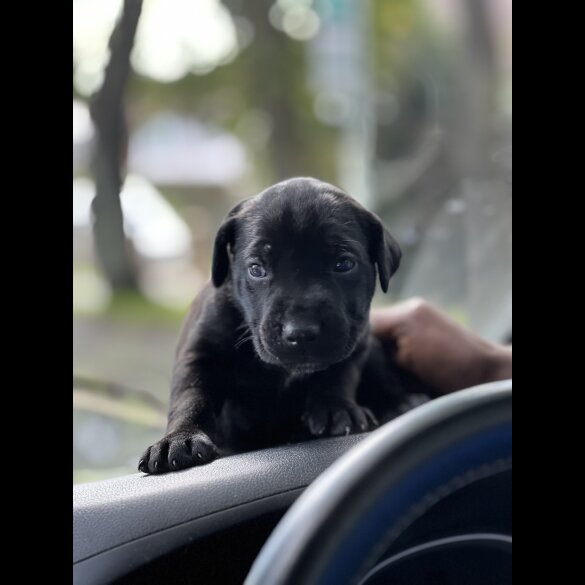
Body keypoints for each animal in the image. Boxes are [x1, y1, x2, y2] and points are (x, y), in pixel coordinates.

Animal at [139, 176, 432, 472]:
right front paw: (180, 438)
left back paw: (403, 402)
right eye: (256, 269)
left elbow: (340, 373)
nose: (300, 332)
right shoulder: (199, 354)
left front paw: (337, 409)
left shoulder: (358, 340)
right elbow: (191, 395)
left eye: (344, 264)